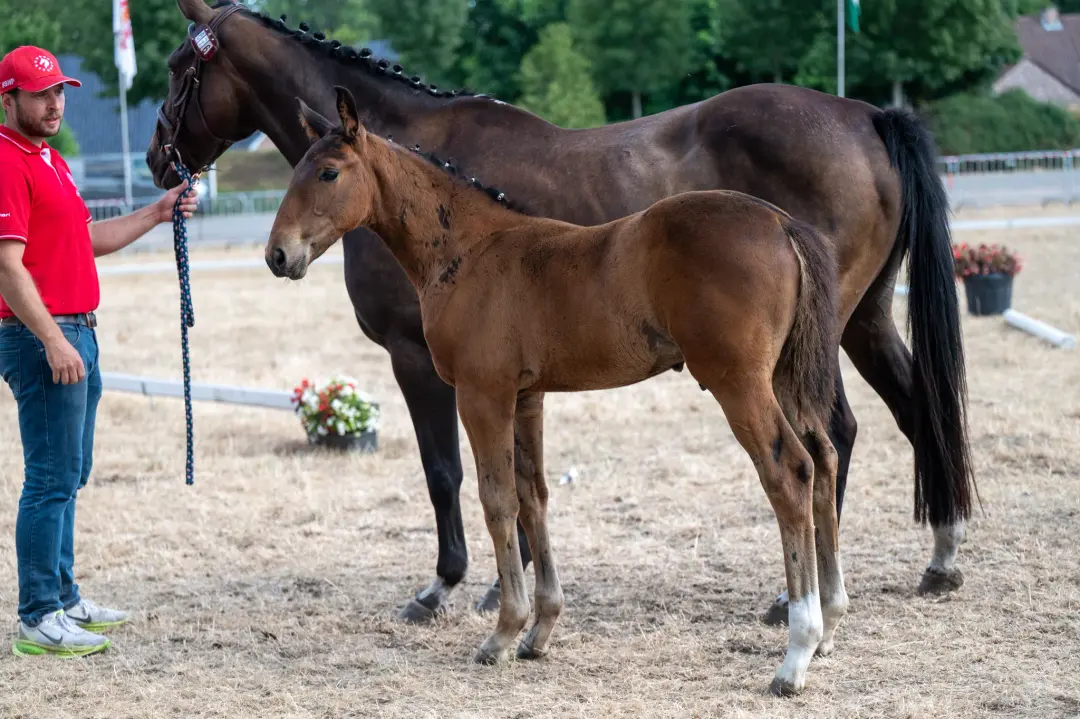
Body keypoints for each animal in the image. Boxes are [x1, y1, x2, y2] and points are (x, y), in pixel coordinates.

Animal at [147, 0, 976, 626]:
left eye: (181, 68)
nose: (158, 160)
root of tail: (869, 116)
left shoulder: (418, 359)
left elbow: (446, 472)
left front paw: (446, 584)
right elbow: (512, 484)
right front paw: (505, 587)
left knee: (829, 436)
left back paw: (799, 594)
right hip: (863, 320)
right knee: (911, 411)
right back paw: (937, 555)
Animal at [266, 86, 847, 696]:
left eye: (328, 172)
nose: (277, 255)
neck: (470, 250)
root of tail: (781, 223)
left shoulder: (482, 394)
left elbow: (497, 500)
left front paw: (502, 633)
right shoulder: (527, 397)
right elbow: (534, 497)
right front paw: (538, 632)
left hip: (737, 381)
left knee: (791, 471)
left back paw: (795, 653)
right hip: (784, 378)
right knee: (825, 458)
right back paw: (829, 625)